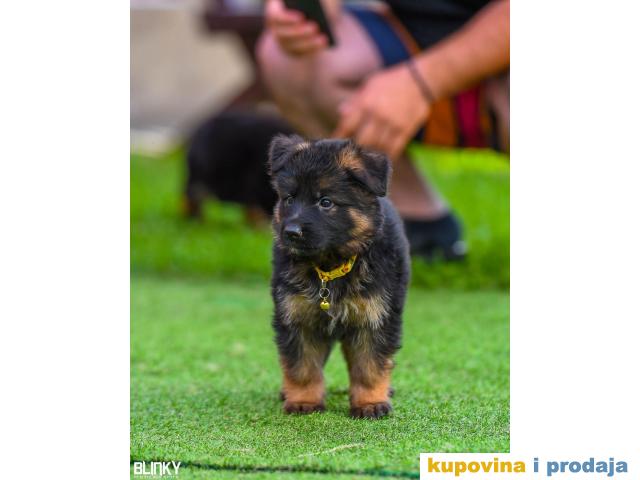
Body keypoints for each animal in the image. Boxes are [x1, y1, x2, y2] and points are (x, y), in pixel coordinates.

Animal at [268, 135, 410, 419]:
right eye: (289, 199)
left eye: (326, 202)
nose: (290, 232)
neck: (329, 267)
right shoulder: (297, 318)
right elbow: (302, 367)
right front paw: (304, 401)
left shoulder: (374, 318)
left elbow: (369, 366)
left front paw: (370, 403)